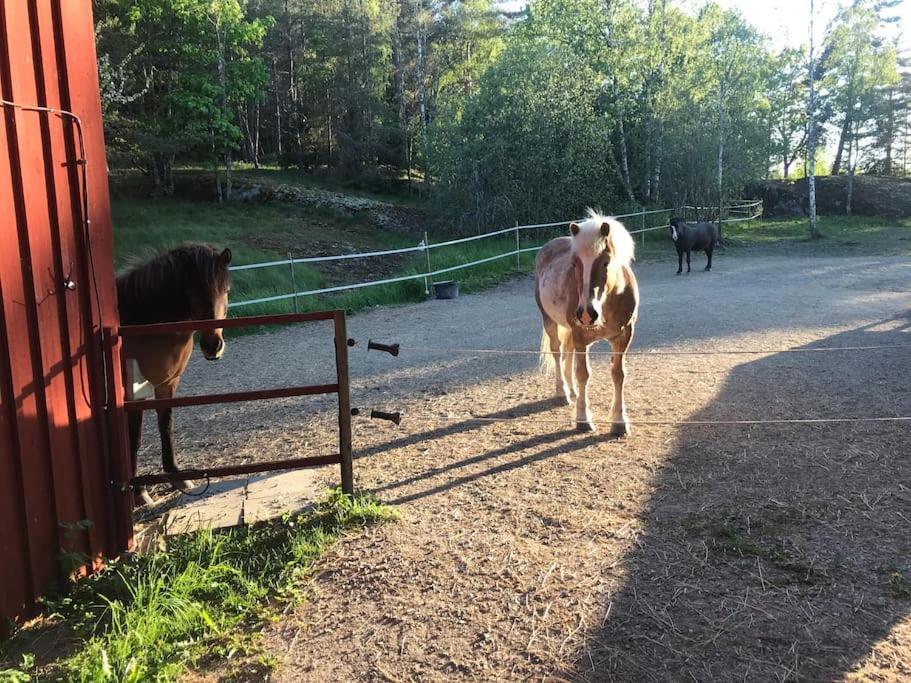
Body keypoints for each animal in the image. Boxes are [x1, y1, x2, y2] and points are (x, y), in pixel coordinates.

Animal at [116, 246, 232, 508]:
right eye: (192, 291)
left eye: (226, 290)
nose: (213, 346)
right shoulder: (133, 393)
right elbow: (134, 437)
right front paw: (139, 493)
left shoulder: (167, 383)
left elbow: (166, 426)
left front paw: (177, 476)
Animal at [536, 208, 640, 436]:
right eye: (575, 263)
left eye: (606, 262)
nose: (586, 313)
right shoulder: (581, 336)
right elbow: (583, 374)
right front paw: (583, 419)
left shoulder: (624, 336)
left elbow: (618, 374)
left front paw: (619, 421)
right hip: (549, 321)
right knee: (557, 352)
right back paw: (563, 391)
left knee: (567, 352)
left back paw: (572, 390)